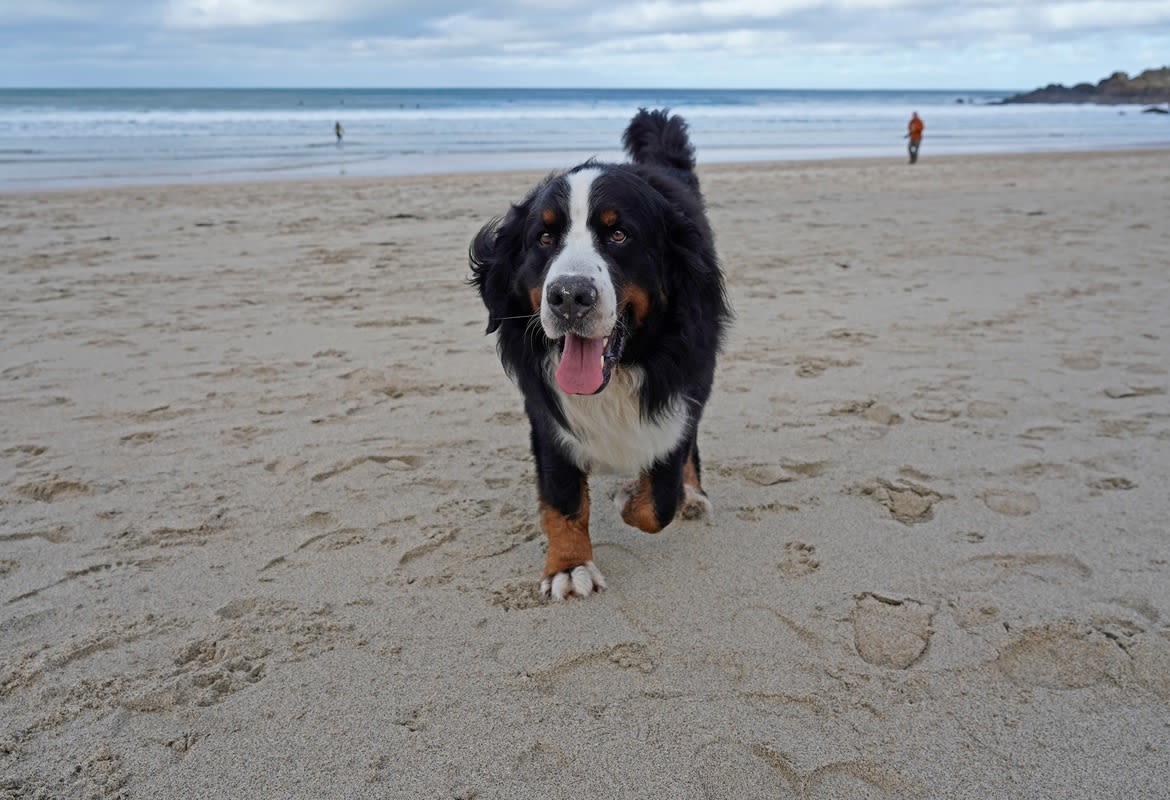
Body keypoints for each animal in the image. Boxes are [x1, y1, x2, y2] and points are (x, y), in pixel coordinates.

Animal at [467, 111, 725, 598]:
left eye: (619, 235)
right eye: (544, 237)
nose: (570, 296)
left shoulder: (681, 391)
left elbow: (658, 499)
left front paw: (634, 496)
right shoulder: (547, 414)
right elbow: (563, 497)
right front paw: (569, 566)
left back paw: (693, 494)